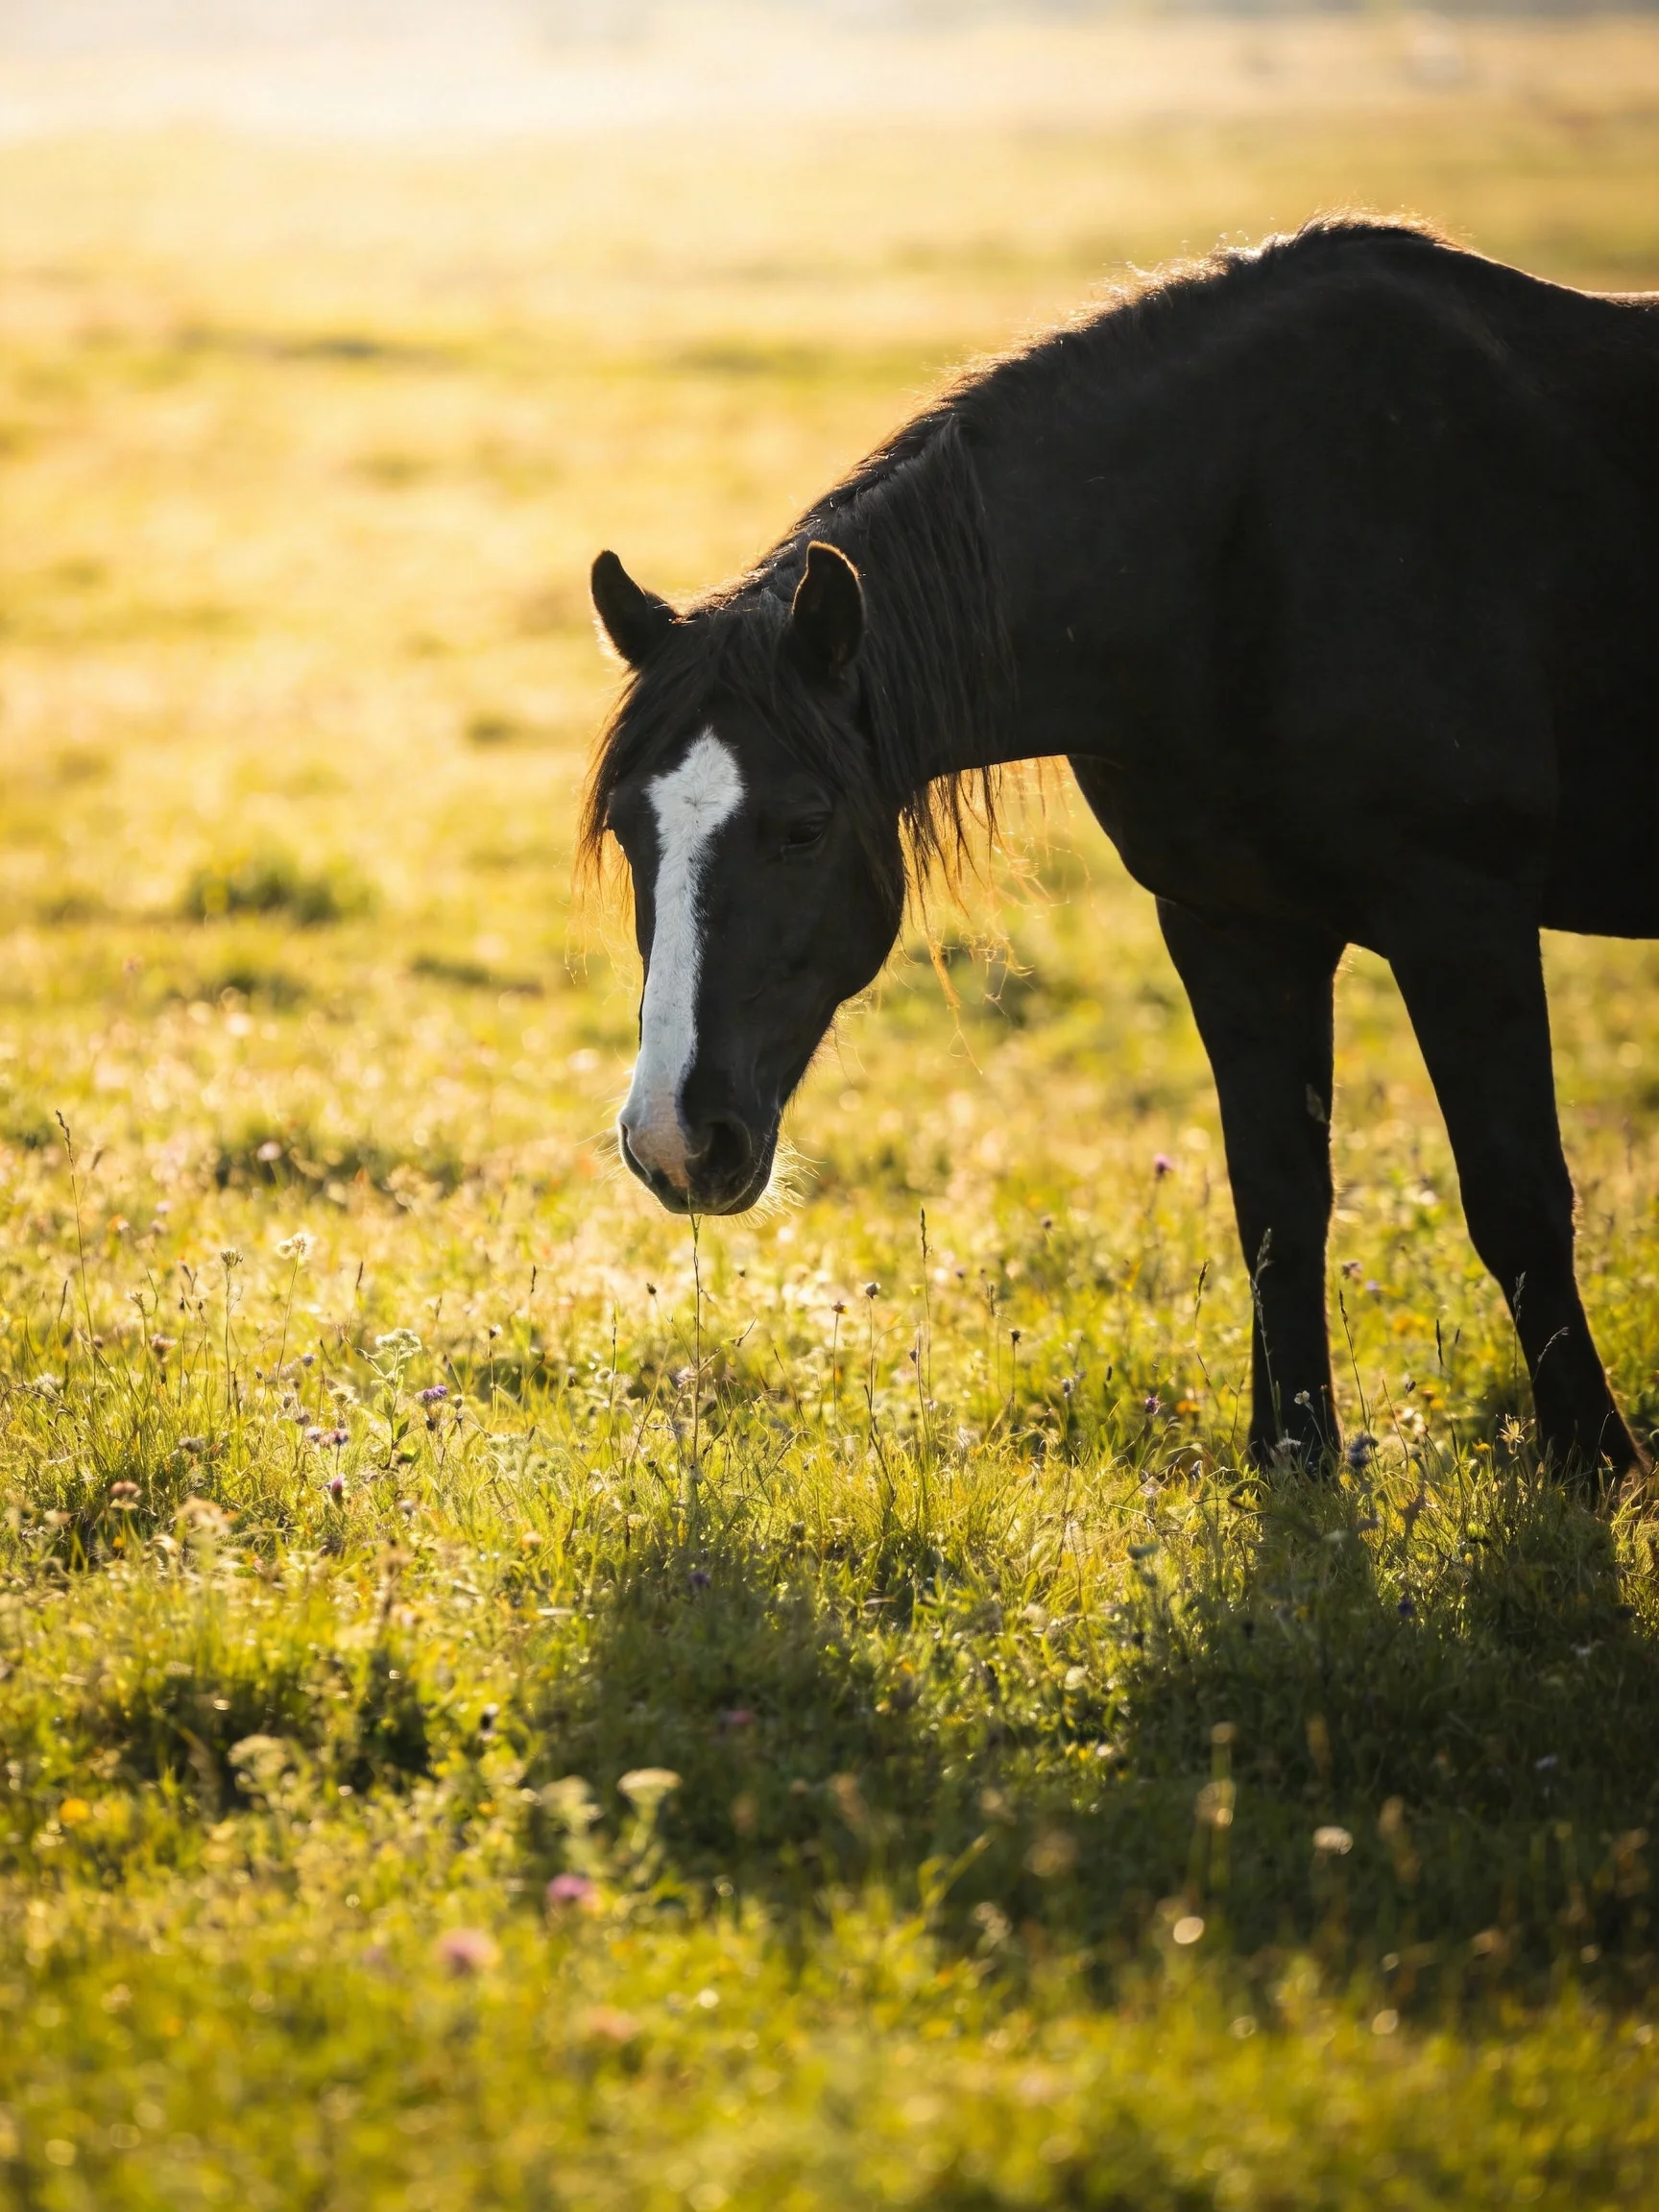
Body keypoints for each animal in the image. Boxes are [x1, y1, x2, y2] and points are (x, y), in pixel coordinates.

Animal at [582, 216, 1659, 1490]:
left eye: (802, 827)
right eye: (630, 831)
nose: (674, 1142)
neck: (1244, 548)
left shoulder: (1465, 920)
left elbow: (1517, 1197)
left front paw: (1594, 1465)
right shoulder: (1231, 927)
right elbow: (1277, 1202)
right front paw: (1293, 1460)